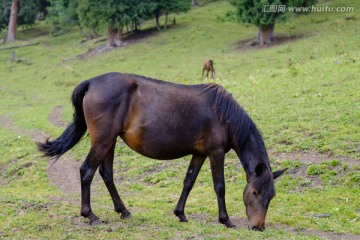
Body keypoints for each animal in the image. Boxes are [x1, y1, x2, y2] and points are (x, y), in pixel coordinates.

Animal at [38, 71, 286, 231]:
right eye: (255, 192)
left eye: (271, 196)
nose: (258, 227)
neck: (223, 114)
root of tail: (91, 82)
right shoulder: (216, 153)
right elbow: (220, 187)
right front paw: (225, 220)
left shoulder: (199, 153)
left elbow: (188, 182)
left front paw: (180, 214)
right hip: (102, 141)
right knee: (86, 172)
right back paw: (91, 215)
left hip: (109, 142)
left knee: (106, 174)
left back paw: (123, 211)